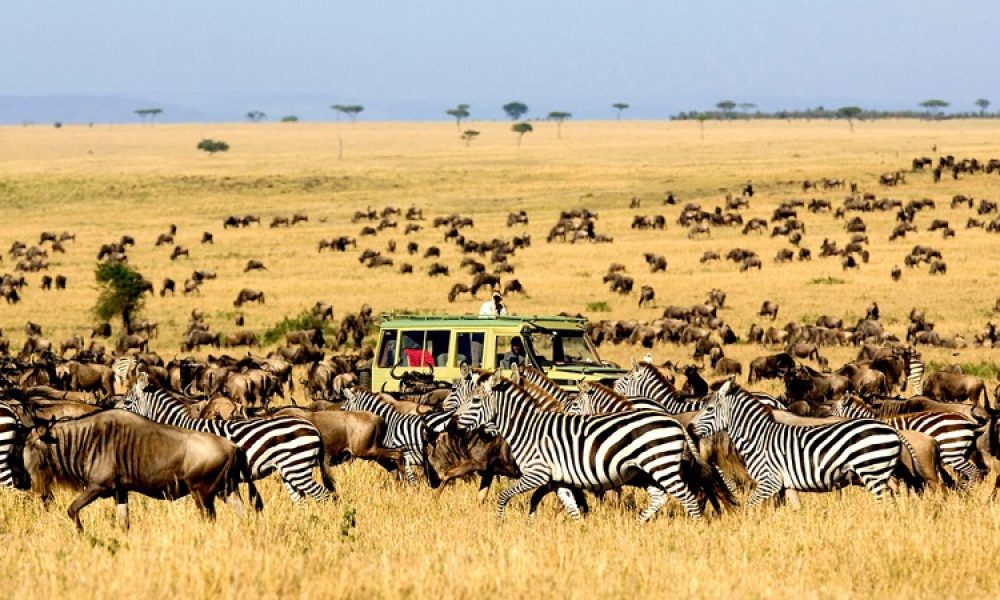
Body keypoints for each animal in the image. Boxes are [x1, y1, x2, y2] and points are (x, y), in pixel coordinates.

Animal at [122, 376, 334, 502]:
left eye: (127, 401)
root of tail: (313, 428)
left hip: (297, 467)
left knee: (324, 495)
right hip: (289, 470)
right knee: (301, 500)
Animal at [458, 370, 700, 520]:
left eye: (475, 400)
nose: (455, 421)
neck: (527, 428)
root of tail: (675, 421)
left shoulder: (537, 473)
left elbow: (504, 496)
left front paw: (499, 523)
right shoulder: (558, 479)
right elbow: (572, 508)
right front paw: (578, 531)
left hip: (661, 466)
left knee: (688, 498)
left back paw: (695, 529)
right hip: (646, 471)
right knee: (660, 496)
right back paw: (639, 524)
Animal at [692, 380, 912, 506]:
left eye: (709, 409)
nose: (691, 428)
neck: (758, 437)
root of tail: (891, 429)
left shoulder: (769, 480)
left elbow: (751, 505)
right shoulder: (786, 484)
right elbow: (795, 508)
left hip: (872, 471)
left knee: (885, 500)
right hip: (882, 473)